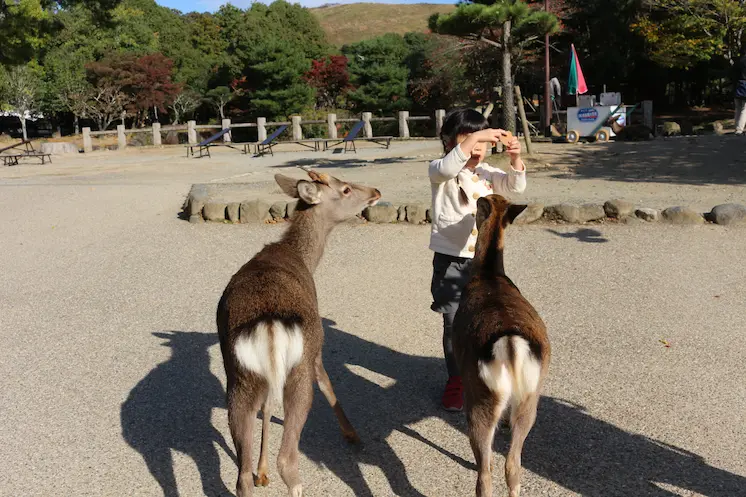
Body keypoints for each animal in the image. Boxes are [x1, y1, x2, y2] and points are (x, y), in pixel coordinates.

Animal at [214, 169, 378, 494]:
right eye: (345, 188)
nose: (375, 192)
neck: (303, 258)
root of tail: (267, 324)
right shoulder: (316, 350)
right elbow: (328, 384)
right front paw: (352, 434)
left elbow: (267, 407)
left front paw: (262, 472)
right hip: (298, 371)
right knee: (288, 459)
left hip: (240, 378)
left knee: (241, 475)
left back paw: (255, 474)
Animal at [450, 193, 548, 496]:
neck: (489, 275)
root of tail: (509, 343)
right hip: (531, 396)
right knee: (513, 464)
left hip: (480, 397)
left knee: (485, 472)